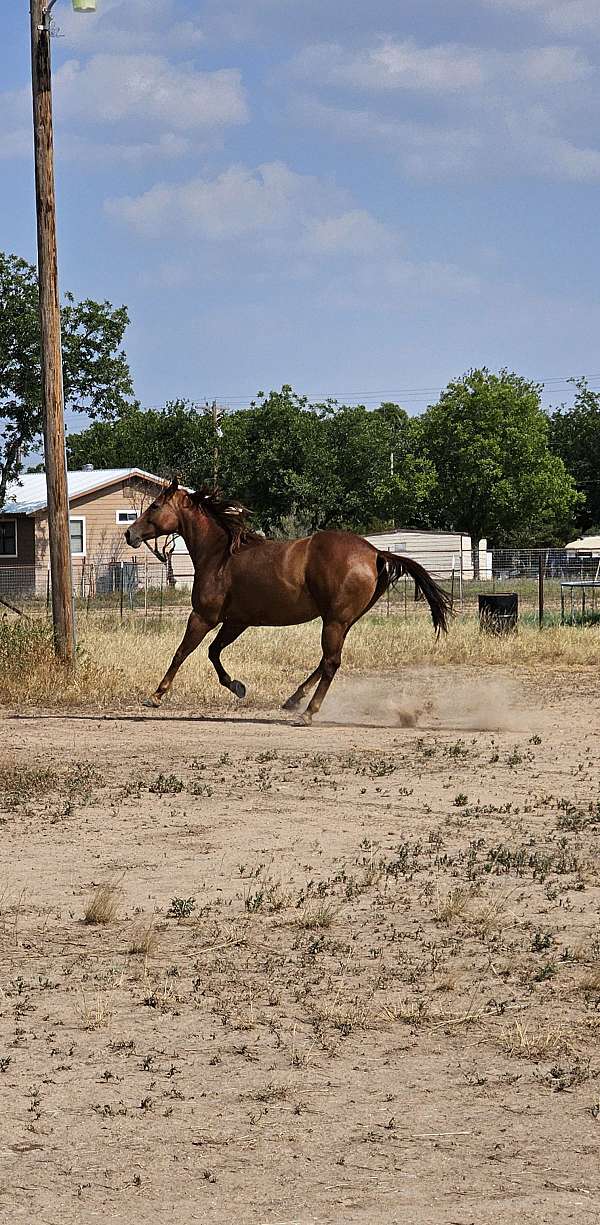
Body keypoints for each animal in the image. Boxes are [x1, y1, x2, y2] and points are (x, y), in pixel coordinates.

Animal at [124, 477, 450, 720]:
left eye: (154, 505)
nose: (129, 534)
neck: (220, 557)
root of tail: (374, 553)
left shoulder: (203, 617)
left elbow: (182, 653)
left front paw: (155, 696)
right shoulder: (236, 621)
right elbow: (214, 652)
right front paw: (238, 687)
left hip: (335, 620)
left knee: (331, 662)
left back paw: (307, 712)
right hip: (344, 621)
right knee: (325, 661)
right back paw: (293, 700)